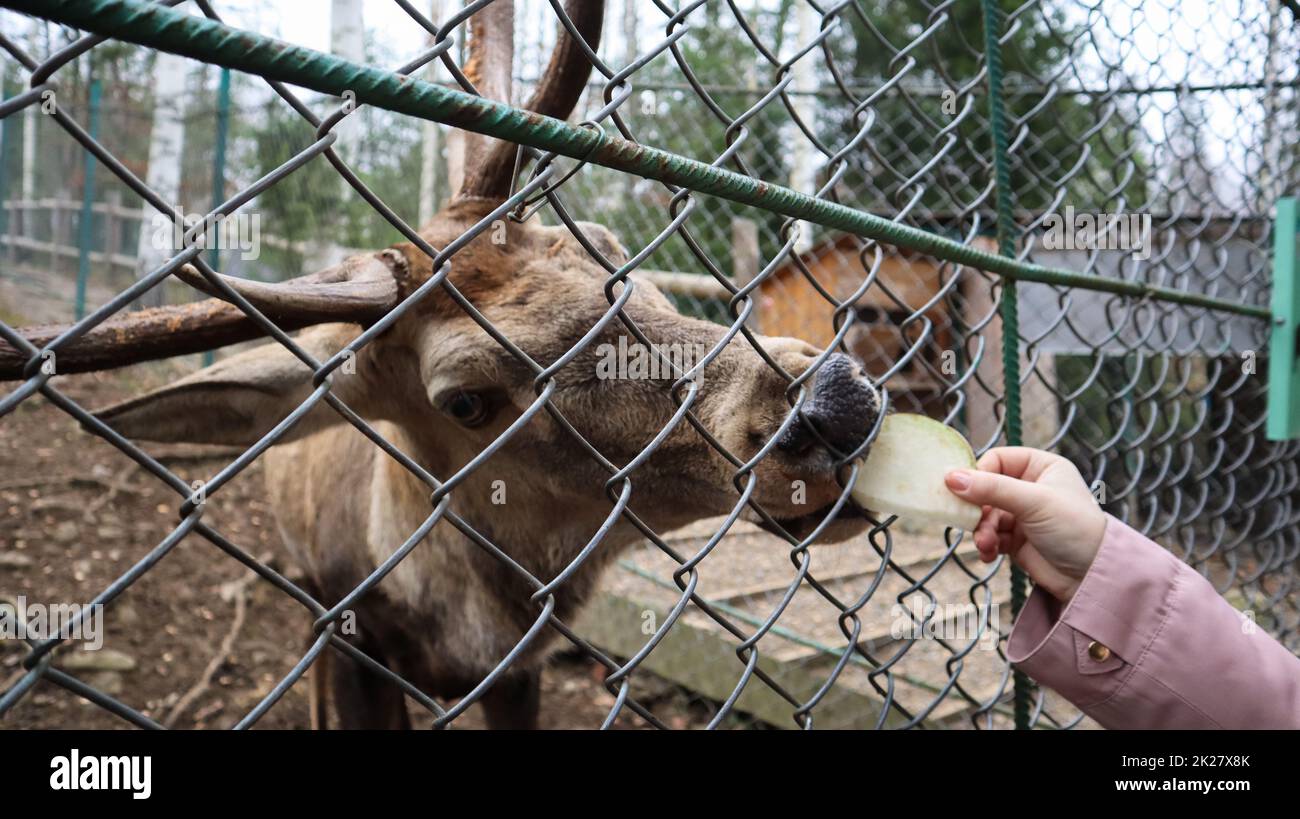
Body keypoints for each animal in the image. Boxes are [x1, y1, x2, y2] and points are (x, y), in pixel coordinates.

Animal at [0, 0, 883, 733]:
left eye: (609, 250)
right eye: (464, 400)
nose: (831, 401)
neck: (462, 620)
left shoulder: (520, 667)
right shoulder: (351, 636)